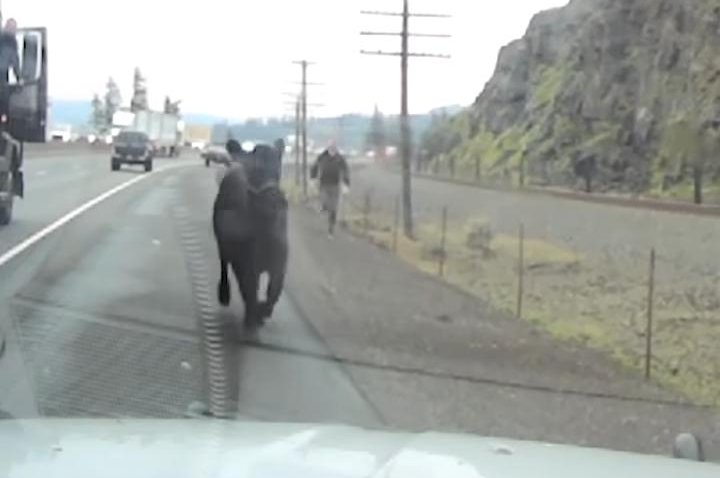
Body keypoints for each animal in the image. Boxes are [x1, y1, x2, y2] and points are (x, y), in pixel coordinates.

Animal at [214, 139, 290, 328]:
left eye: (278, 170)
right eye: (254, 171)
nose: (274, 199)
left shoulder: (279, 265)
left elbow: (274, 291)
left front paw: (263, 312)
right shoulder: (245, 264)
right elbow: (249, 291)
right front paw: (252, 318)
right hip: (222, 244)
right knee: (223, 266)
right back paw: (224, 294)